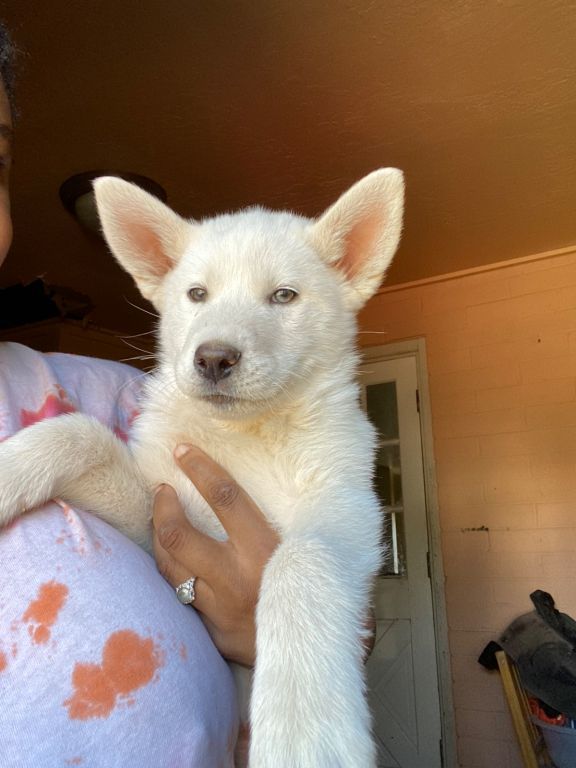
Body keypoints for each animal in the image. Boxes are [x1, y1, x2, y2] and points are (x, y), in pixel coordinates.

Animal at [0, 170, 402, 768]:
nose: (213, 358)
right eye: (197, 294)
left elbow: (300, 561)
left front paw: (302, 729)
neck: (245, 435)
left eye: (284, 296)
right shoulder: (158, 516)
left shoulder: (348, 509)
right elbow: (80, 434)